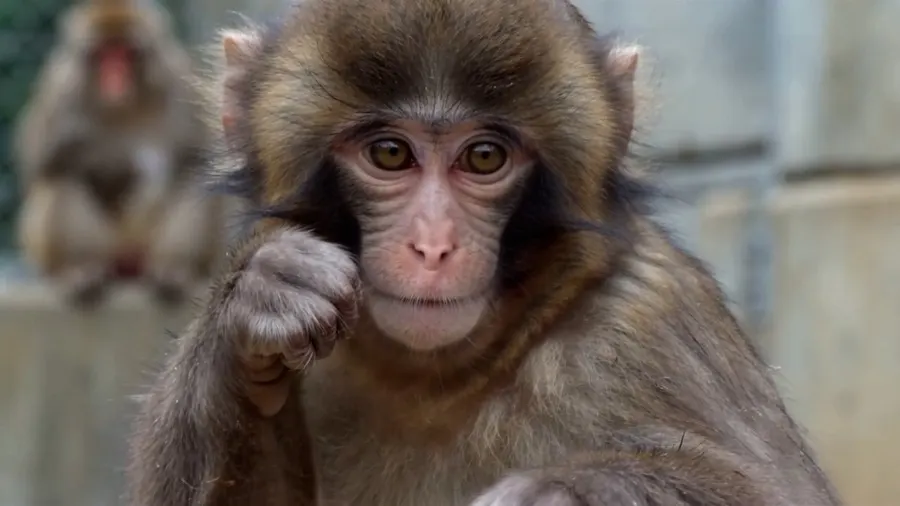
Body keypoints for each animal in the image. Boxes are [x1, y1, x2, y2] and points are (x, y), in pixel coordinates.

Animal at [13, 0, 226, 306]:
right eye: (102, 54)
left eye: (126, 53)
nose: (115, 77)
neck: (125, 106)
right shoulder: (59, 91)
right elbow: (37, 165)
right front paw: (110, 164)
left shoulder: (180, 83)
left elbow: (200, 160)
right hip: (93, 250)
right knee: (61, 178)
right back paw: (80, 271)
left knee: (193, 179)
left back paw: (174, 269)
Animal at [125, 0, 844, 505]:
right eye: (391, 153)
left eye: (484, 157)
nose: (433, 246)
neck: (436, 377)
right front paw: (259, 297)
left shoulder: (649, 319)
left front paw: (557, 496)